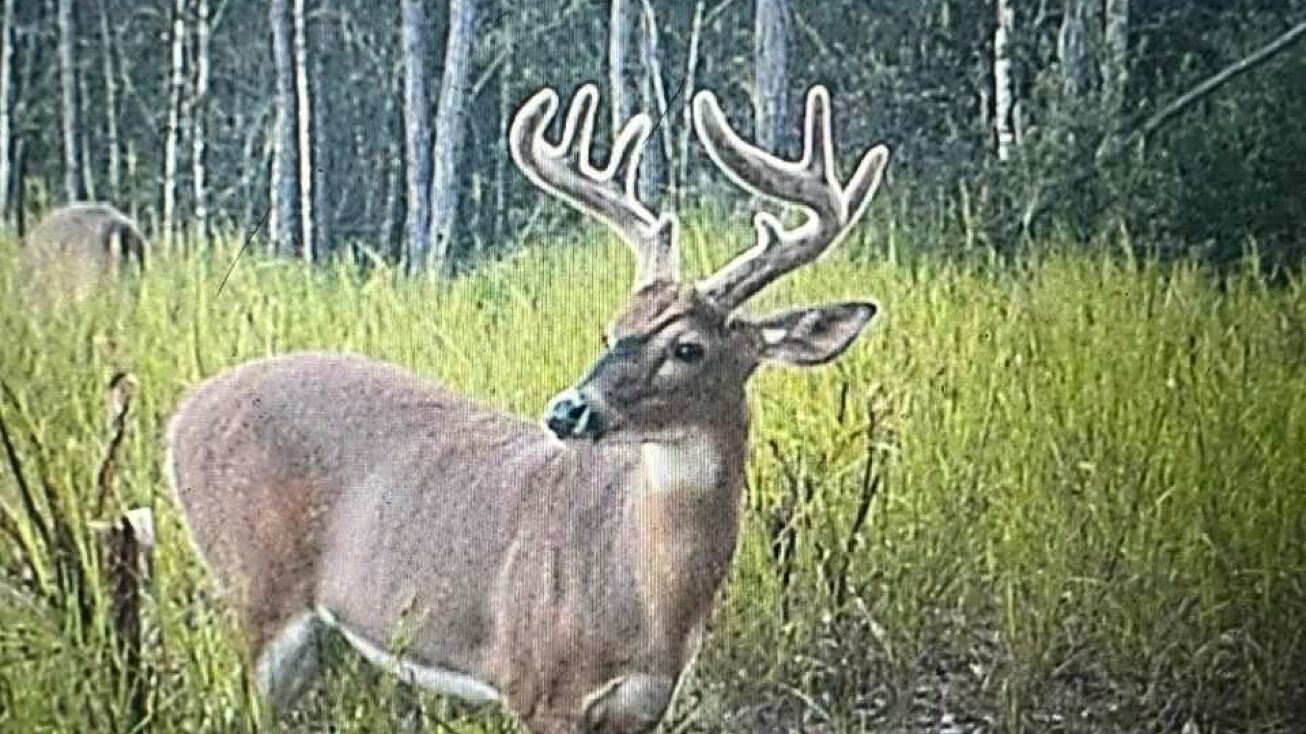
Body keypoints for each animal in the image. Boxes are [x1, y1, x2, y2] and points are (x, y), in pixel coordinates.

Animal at [165, 82, 889, 734]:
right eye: (613, 327)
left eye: (689, 347)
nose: (568, 410)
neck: (647, 599)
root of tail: (180, 416)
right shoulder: (539, 685)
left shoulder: (645, 706)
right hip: (256, 588)